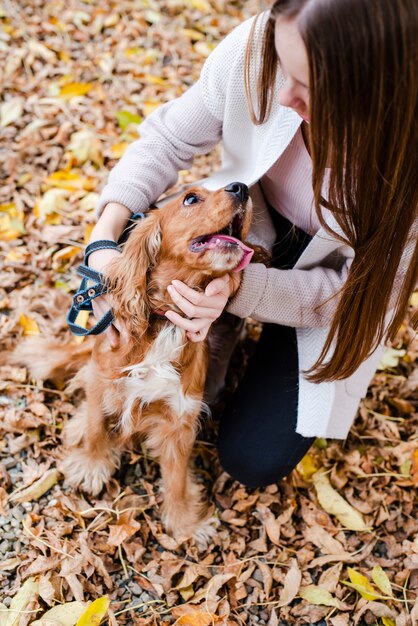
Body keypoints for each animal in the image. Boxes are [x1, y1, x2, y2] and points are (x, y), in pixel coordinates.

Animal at [13, 183, 253, 544]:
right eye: (191, 198)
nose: (242, 187)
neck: (168, 321)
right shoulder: (103, 380)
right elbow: (96, 427)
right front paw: (91, 465)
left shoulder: (179, 417)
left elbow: (177, 477)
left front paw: (185, 523)